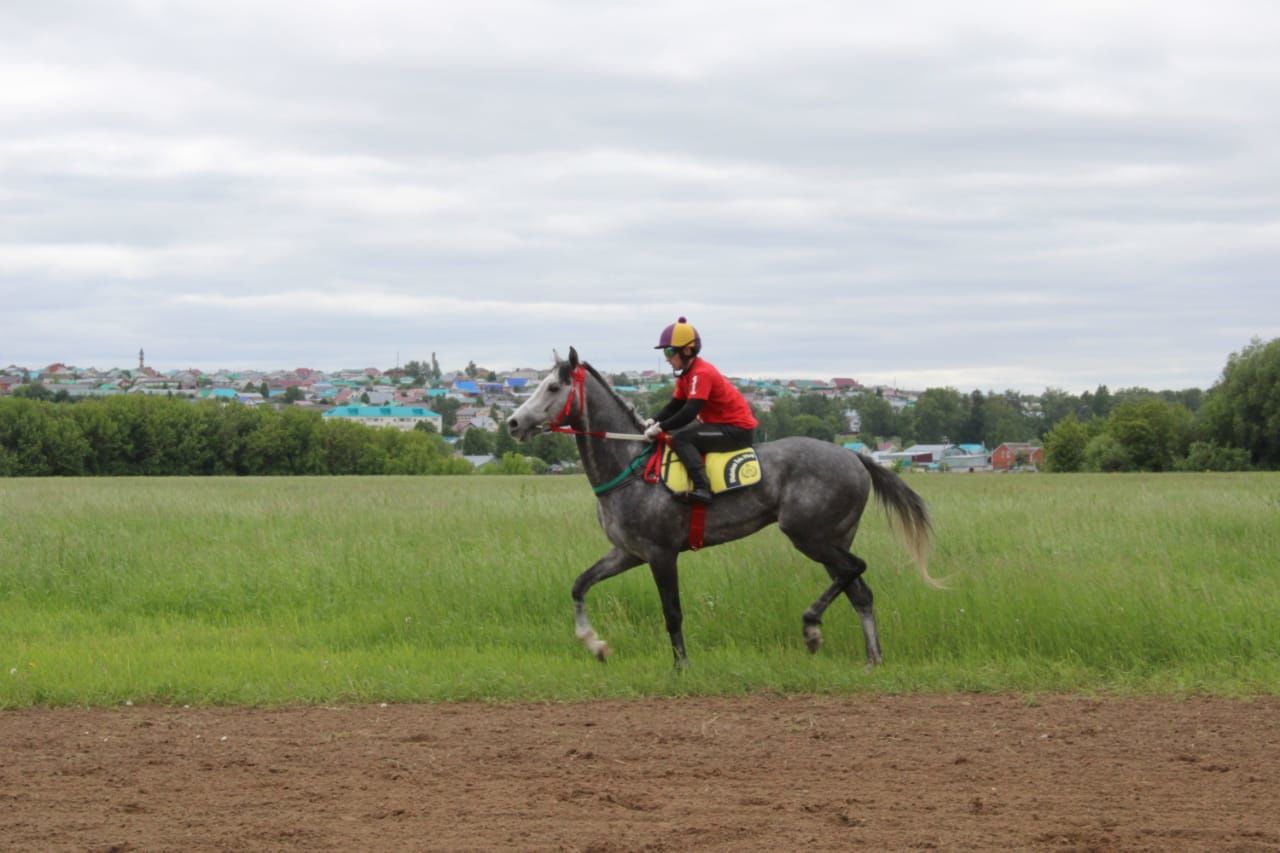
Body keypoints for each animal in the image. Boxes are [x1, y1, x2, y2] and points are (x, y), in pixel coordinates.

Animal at [509, 345, 942, 666]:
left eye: (552, 388)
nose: (513, 423)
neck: (629, 464)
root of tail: (855, 458)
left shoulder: (661, 553)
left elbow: (672, 612)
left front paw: (681, 667)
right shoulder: (627, 552)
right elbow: (580, 585)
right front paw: (594, 643)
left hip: (810, 536)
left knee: (856, 569)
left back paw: (812, 627)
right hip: (834, 537)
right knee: (859, 591)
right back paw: (872, 658)